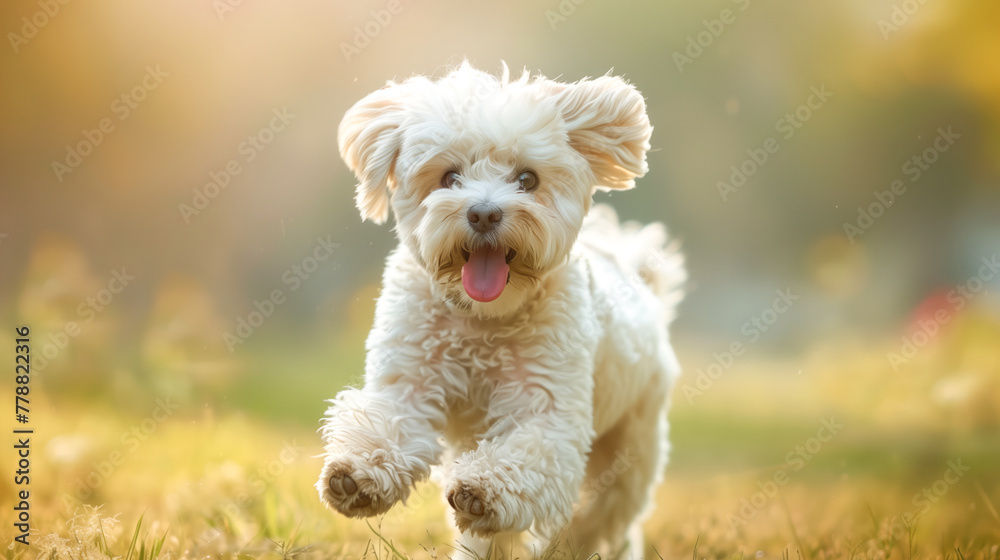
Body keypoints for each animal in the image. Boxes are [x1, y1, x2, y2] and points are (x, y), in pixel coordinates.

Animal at [316, 62, 684, 556]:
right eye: (449, 177)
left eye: (527, 180)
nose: (484, 214)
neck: (481, 320)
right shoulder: (409, 381)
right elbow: (390, 421)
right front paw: (355, 473)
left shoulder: (546, 410)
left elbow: (530, 452)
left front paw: (485, 489)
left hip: (631, 446)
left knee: (604, 516)